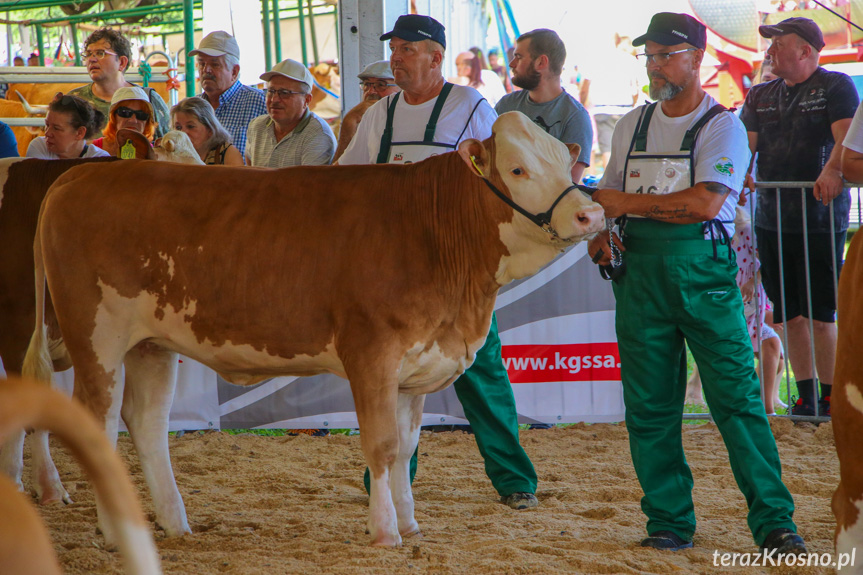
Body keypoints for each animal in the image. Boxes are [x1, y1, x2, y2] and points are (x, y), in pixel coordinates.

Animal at [27, 111, 604, 544]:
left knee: (146, 422)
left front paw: (411, 524)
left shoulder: (417, 365)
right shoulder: (371, 353)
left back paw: (173, 524)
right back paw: (115, 531)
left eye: (566, 158)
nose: (591, 215)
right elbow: (382, 447)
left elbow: (407, 447)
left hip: (151, 343)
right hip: (96, 337)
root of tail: (78, 176)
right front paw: (385, 533)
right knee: (99, 421)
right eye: (518, 169)